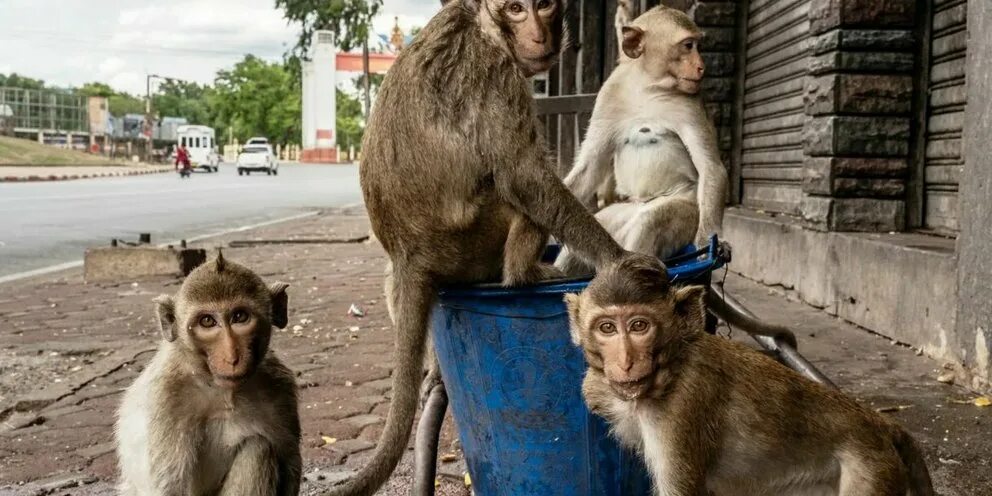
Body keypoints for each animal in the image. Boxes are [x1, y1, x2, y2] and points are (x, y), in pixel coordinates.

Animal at [116, 256, 302, 496]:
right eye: (207, 321)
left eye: (240, 317)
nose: (232, 357)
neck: (221, 390)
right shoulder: (167, 398)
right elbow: (169, 486)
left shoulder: (279, 386)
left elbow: (290, 461)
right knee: (258, 448)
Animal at [344, 0, 664, 496]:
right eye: (514, 9)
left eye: (543, 5)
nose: (536, 34)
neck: (485, 26)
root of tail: (412, 254)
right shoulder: (492, 71)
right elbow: (523, 175)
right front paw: (620, 262)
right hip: (473, 241)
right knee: (517, 193)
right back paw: (524, 274)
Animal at [556, 3, 732, 274]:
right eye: (688, 45)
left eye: (696, 45)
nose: (701, 65)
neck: (647, 86)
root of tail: (641, 203)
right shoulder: (609, 94)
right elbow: (590, 167)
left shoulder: (690, 104)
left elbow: (711, 168)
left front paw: (710, 243)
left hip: (685, 208)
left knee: (650, 221)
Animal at [564, 260, 936, 496]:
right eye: (607, 328)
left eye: (639, 326)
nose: (626, 361)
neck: (670, 367)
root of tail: (879, 423)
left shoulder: (683, 407)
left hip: (871, 473)